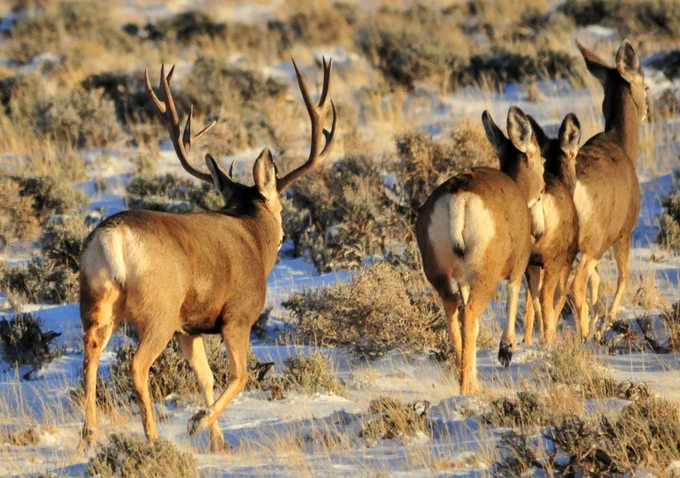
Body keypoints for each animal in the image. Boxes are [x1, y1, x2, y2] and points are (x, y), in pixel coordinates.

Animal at [77, 59, 336, 451]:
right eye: (281, 210)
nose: (281, 239)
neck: (252, 235)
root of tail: (113, 238)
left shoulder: (190, 327)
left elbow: (206, 377)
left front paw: (218, 442)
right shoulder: (238, 315)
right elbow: (240, 375)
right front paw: (199, 422)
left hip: (96, 299)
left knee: (90, 353)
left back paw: (90, 435)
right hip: (160, 307)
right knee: (137, 364)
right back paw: (152, 439)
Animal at [415, 106, 545, 394]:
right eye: (543, 160)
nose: (540, 230)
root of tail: (459, 198)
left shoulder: (464, 280)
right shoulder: (518, 264)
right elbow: (514, 294)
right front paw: (506, 349)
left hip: (438, 273)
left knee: (454, 308)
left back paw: (466, 379)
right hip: (486, 274)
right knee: (470, 312)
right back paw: (467, 387)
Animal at [520, 113, 581, 347]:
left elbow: (529, 303)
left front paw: (528, 340)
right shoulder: (567, 257)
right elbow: (560, 296)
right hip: (556, 255)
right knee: (548, 295)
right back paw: (549, 339)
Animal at [567, 40, 646, 339]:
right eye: (647, 87)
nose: (647, 111)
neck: (623, 144)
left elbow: (597, 281)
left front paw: (597, 318)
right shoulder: (623, 230)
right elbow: (624, 276)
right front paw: (607, 321)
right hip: (593, 238)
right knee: (574, 285)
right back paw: (585, 337)